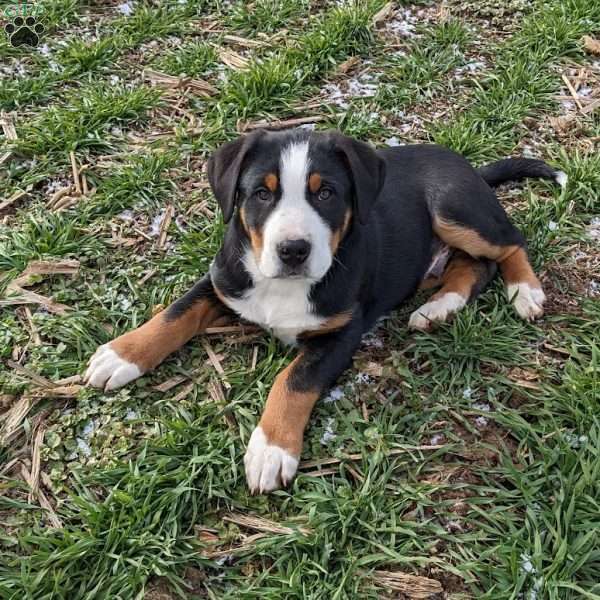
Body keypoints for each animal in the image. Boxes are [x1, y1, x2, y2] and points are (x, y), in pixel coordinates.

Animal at [85, 126, 568, 492]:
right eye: (261, 194)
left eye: (327, 194)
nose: (293, 250)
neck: (284, 286)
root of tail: (466, 165)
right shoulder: (223, 281)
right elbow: (174, 314)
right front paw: (121, 355)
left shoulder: (342, 331)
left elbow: (293, 380)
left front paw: (271, 450)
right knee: (473, 265)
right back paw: (438, 308)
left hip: (452, 208)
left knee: (509, 243)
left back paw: (524, 291)